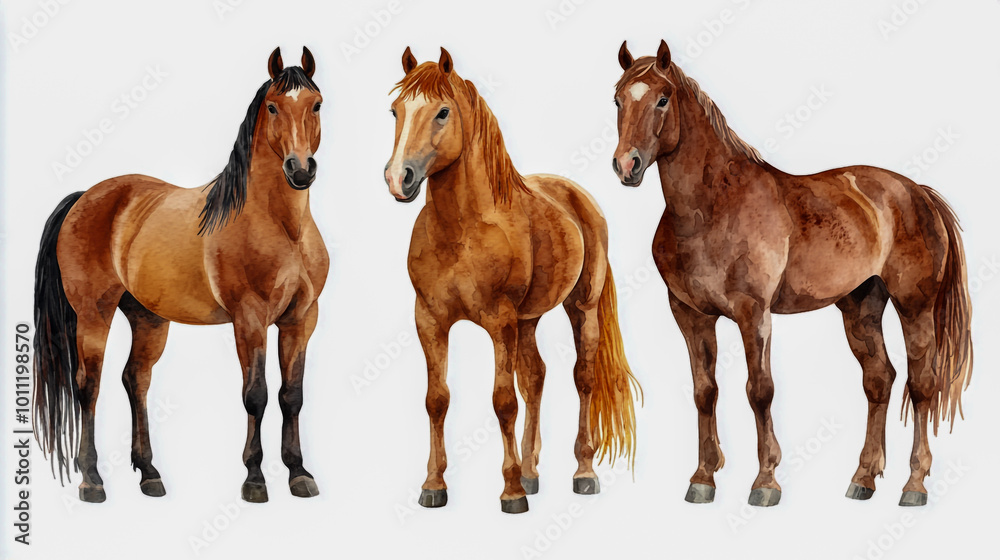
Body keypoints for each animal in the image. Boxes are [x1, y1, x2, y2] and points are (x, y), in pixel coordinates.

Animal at [33, 47, 329, 504]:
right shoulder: (249, 320)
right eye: (273, 106)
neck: (284, 229)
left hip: (148, 318)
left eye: (316, 105)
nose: (300, 170)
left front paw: (299, 473)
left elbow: (291, 396)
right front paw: (254, 479)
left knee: (135, 379)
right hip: (93, 314)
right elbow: (256, 395)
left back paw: (149, 473)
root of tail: (85, 197)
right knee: (88, 385)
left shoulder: (301, 320)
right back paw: (92, 480)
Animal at [383, 47, 642, 514]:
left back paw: (582, 472)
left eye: (443, 112)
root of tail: (579, 197)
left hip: (580, 309)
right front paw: (434, 485)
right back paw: (531, 470)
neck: (462, 230)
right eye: (395, 111)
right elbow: (437, 399)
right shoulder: (429, 320)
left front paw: (510, 492)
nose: (399, 178)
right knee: (536, 377)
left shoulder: (499, 321)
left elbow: (504, 401)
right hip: (528, 320)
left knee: (582, 379)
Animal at [612, 40, 972, 507]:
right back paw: (863, 478)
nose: (627, 165)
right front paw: (703, 478)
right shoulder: (691, 315)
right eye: (618, 99)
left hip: (915, 307)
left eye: (662, 98)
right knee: (880, 380)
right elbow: (704, 392)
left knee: (922, 383)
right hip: (861, 307)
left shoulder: (754, 314)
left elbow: (759, 390)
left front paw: (765, 482)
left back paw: (914, 485)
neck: (711, 208)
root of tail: (919, 193)